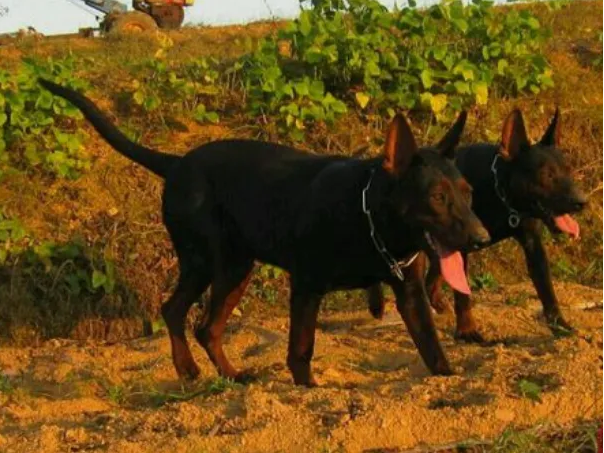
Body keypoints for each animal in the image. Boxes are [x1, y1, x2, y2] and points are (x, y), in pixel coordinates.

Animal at [39, 78, 490, 384]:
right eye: (437, 197)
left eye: (468, 192)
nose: (481, 238)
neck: (368, 219)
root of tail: (177, 163)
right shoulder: (306, 286)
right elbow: (301, 350)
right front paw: (308, 389)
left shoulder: (410, 291)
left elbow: (432, 347)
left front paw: (448, 379)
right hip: (213, 262)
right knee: (181, 314)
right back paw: (190, 369)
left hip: (235, 267)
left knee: (203, 326)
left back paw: (229, 375)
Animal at [368, 109, 584, 340]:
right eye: (546, 175)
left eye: (568, 170)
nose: (582, 202)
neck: (499, 190)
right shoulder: (462, 242)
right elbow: (463, 294)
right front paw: (467, 329)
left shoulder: (532, 244)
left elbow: (546, 289)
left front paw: (560, 324)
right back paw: (377, 303)